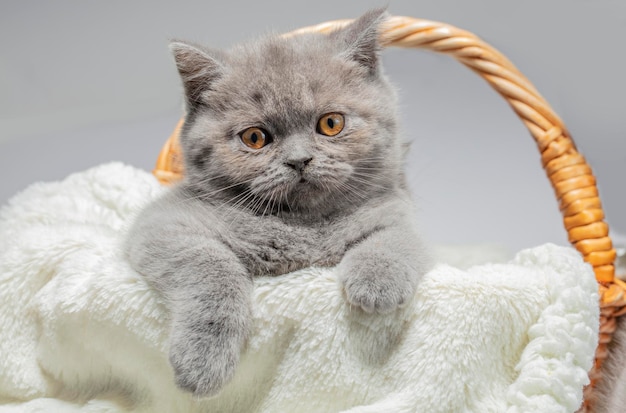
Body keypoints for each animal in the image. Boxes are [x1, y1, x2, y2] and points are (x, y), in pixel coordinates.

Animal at [125, 8, 432, 396]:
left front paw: (378, 281)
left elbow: (396, 237)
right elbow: (210, 264)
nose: (299, 160)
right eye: (255, 138)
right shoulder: (162, 224)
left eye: (331, 123)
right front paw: (203, 360)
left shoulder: (397, 208)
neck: (302, 224)